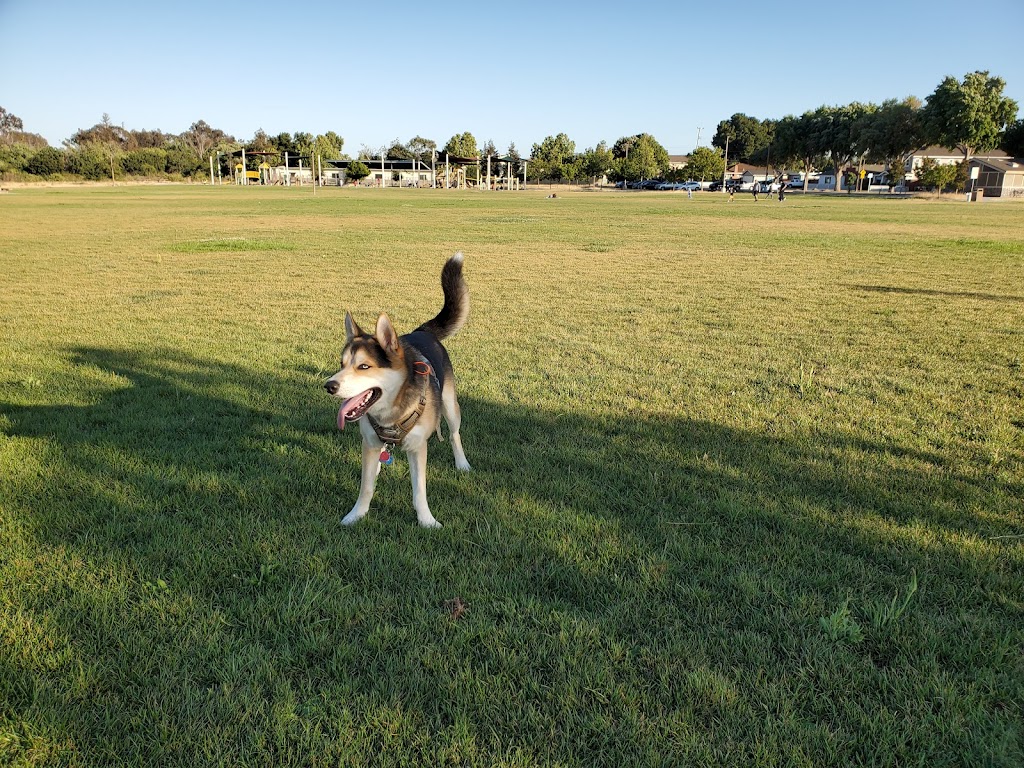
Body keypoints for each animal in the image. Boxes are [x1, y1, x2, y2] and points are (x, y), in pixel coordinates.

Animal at [323, 252, 471, 528]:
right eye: (341, 364)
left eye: (364, 366)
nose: (329, 386)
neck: (391, 411)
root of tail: (420, 331)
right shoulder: (369, 444)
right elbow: (366, 487)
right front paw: (356, 515)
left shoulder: (418, 448)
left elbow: (419, 490)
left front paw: (427, 521)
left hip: (450, 404)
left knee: (455, 434)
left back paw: (462, 463)